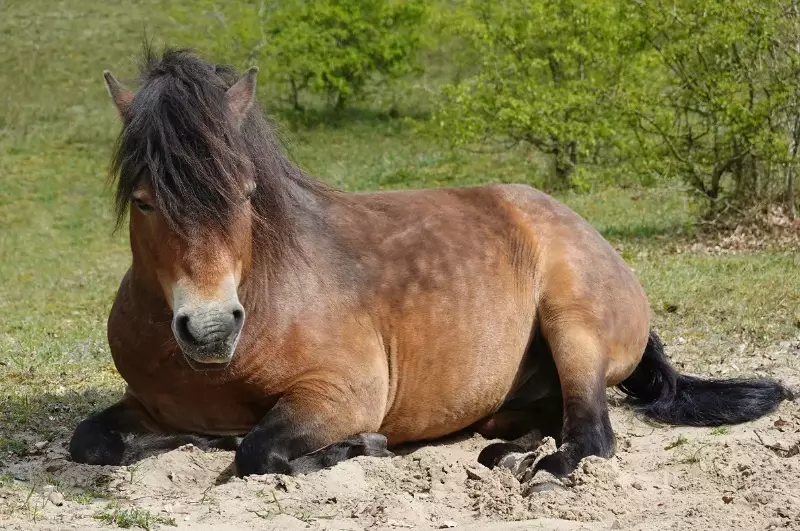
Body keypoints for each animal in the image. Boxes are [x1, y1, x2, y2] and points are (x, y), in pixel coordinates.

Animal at [69, 48, 792, 480]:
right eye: (144, 200)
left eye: (246, 193)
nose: (213, 328)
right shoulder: (144, 403)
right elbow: (90, 442)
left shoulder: (340, 392)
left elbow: (256, 450)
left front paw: (355, 448)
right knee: (540, 421)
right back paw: (505, 452)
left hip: (572, 324)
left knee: (590, 435)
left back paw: (538, 469)